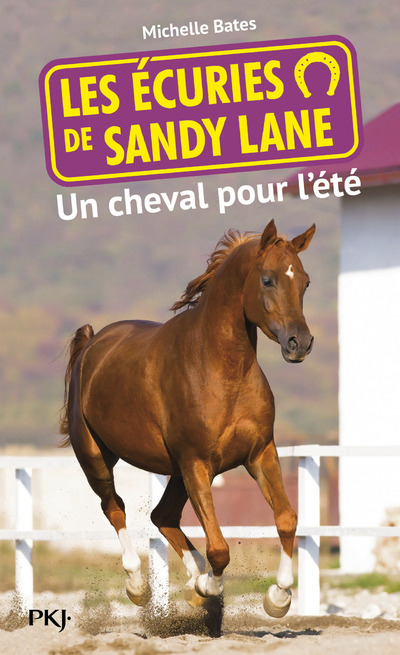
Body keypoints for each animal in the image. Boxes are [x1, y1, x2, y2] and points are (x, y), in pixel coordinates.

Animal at [60, 219, 315, 619]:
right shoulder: (197, 463)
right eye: (268, 279)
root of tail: (91, 343)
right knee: (114, 507)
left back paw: (193, 580)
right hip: (97, 458)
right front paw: (210, 586)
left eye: (305, 281)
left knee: (162, 516)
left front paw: (278, 597)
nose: (299, 343)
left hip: (177, 471)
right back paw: (139, 586)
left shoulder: (260, 453)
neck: (220, 370)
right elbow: (220, 548)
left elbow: (286, 519)